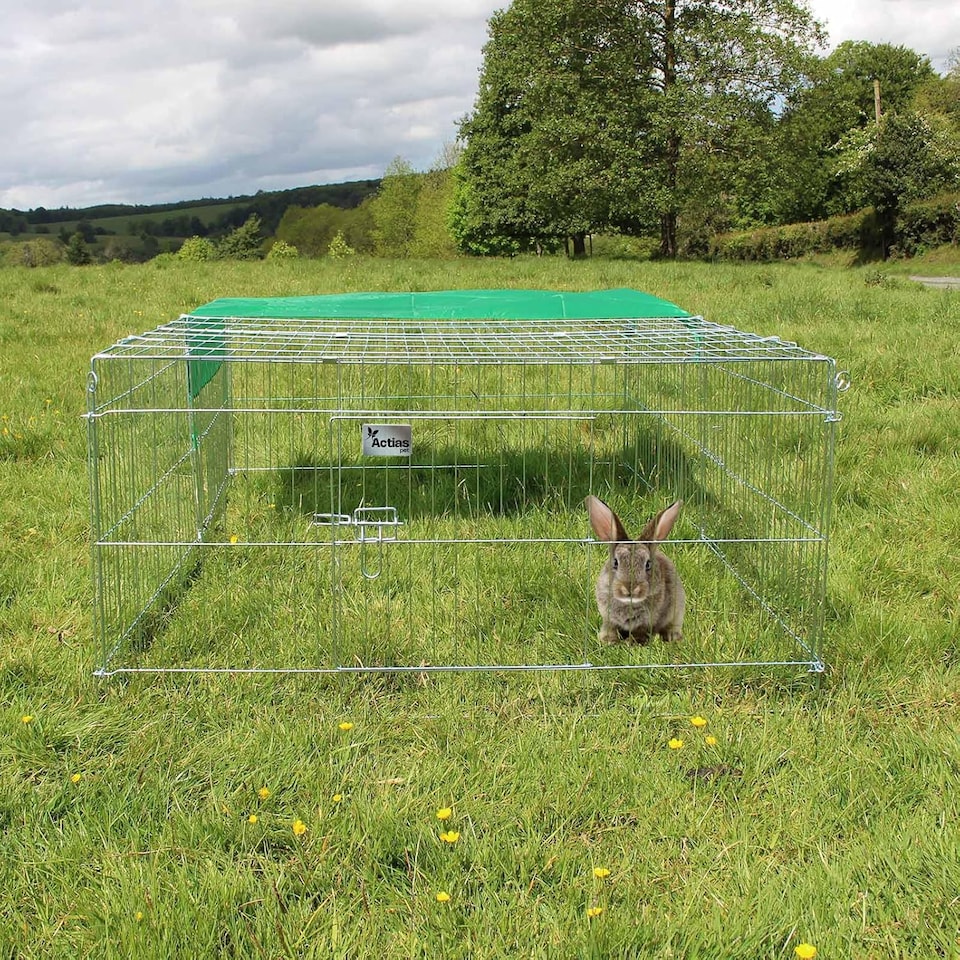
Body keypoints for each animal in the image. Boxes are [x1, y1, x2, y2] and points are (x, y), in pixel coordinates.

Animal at [586, 495, 685, 645]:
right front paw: (608, 640)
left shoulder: (646, 623)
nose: (630, 588)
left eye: (648, 564)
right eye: (615, 562)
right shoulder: (608, 619)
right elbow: (611, 628)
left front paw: (633, 643)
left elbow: (640, 632)